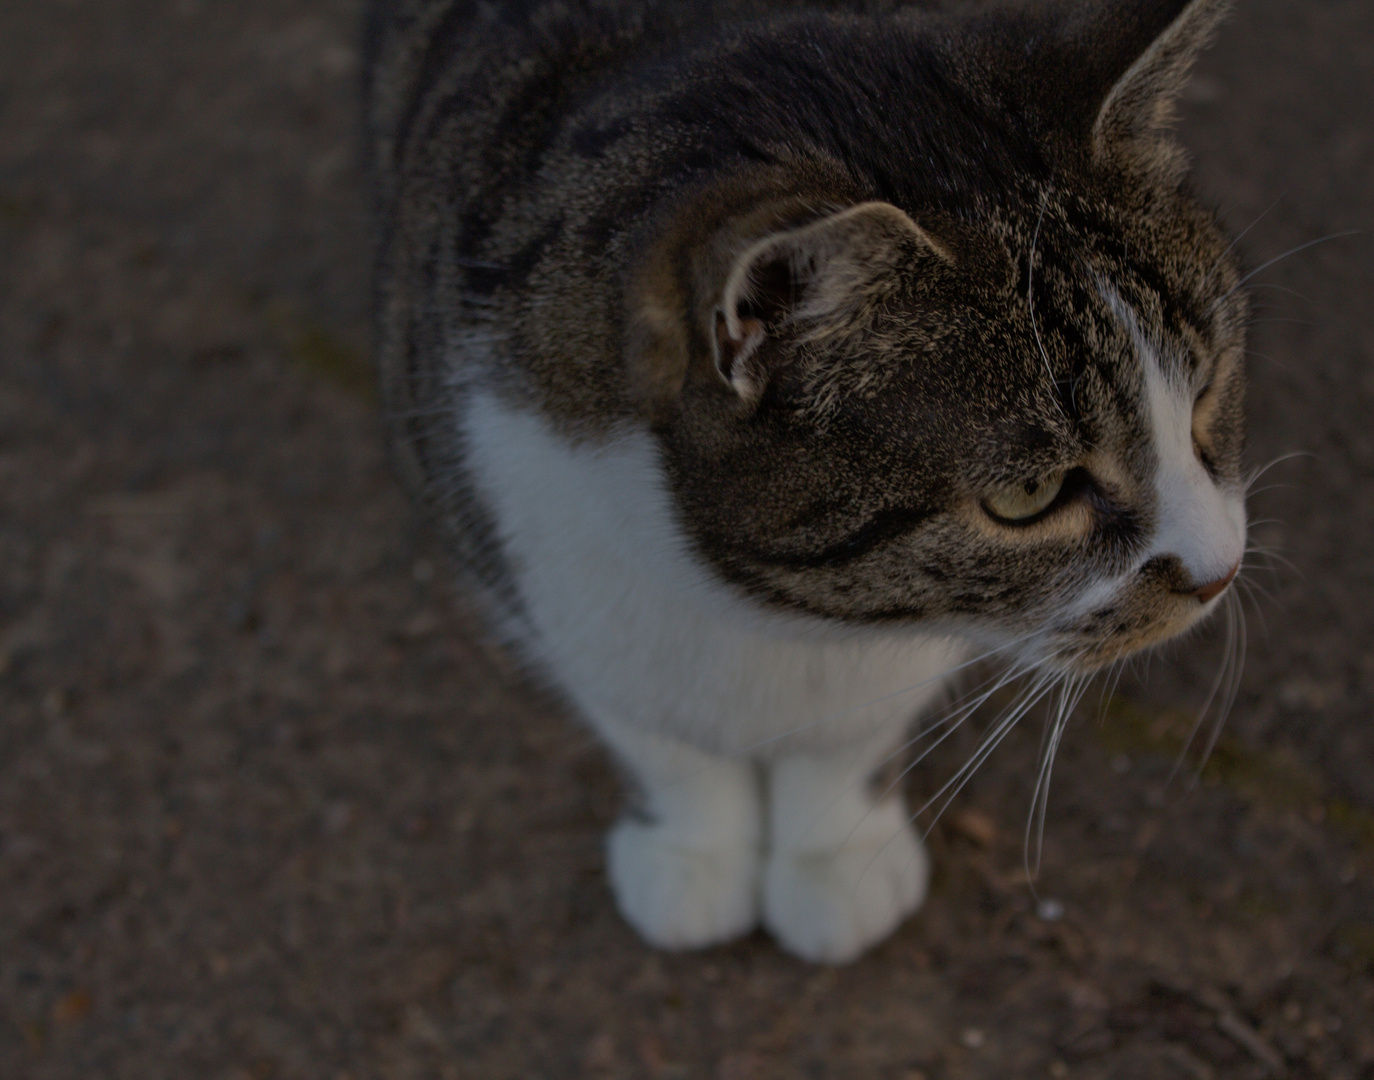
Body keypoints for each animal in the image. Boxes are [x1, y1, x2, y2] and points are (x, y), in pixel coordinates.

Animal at [362, 0, 1247, 961]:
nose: (1221, 572)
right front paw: (696, 852)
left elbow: (850, 731)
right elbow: (651, 723)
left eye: (1206, 393)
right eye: (1029, 497)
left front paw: (835, 856)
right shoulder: (510, 529)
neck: (767, 612)